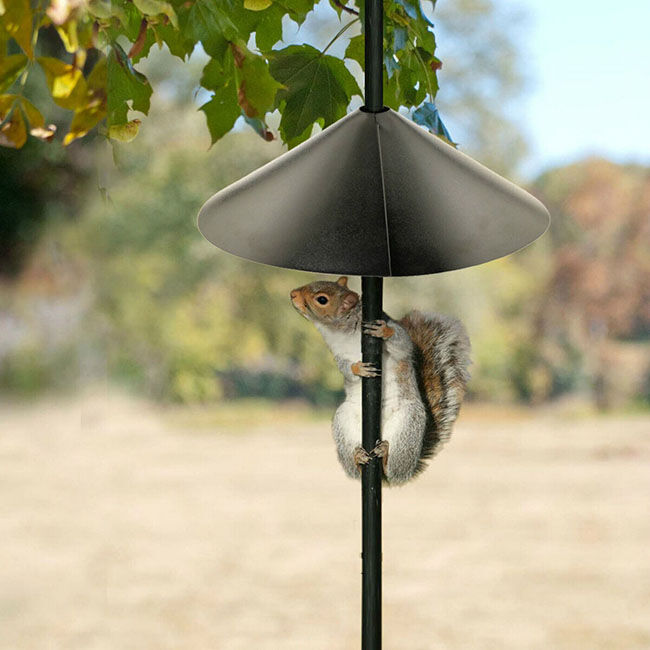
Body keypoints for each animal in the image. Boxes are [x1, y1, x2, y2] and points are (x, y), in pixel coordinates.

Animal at [290, 276, 471, 486]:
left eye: (321, 299)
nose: (292, 294)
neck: (341, 331)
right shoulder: (338, 355)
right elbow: (345, 368)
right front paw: (358, 369)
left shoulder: (399, 339)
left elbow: (403, 344)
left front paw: (384, 331)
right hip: (344, 421)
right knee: (355, 470)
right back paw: (358, 458)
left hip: (408, 425)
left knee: (394, 470)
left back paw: (385, 457)